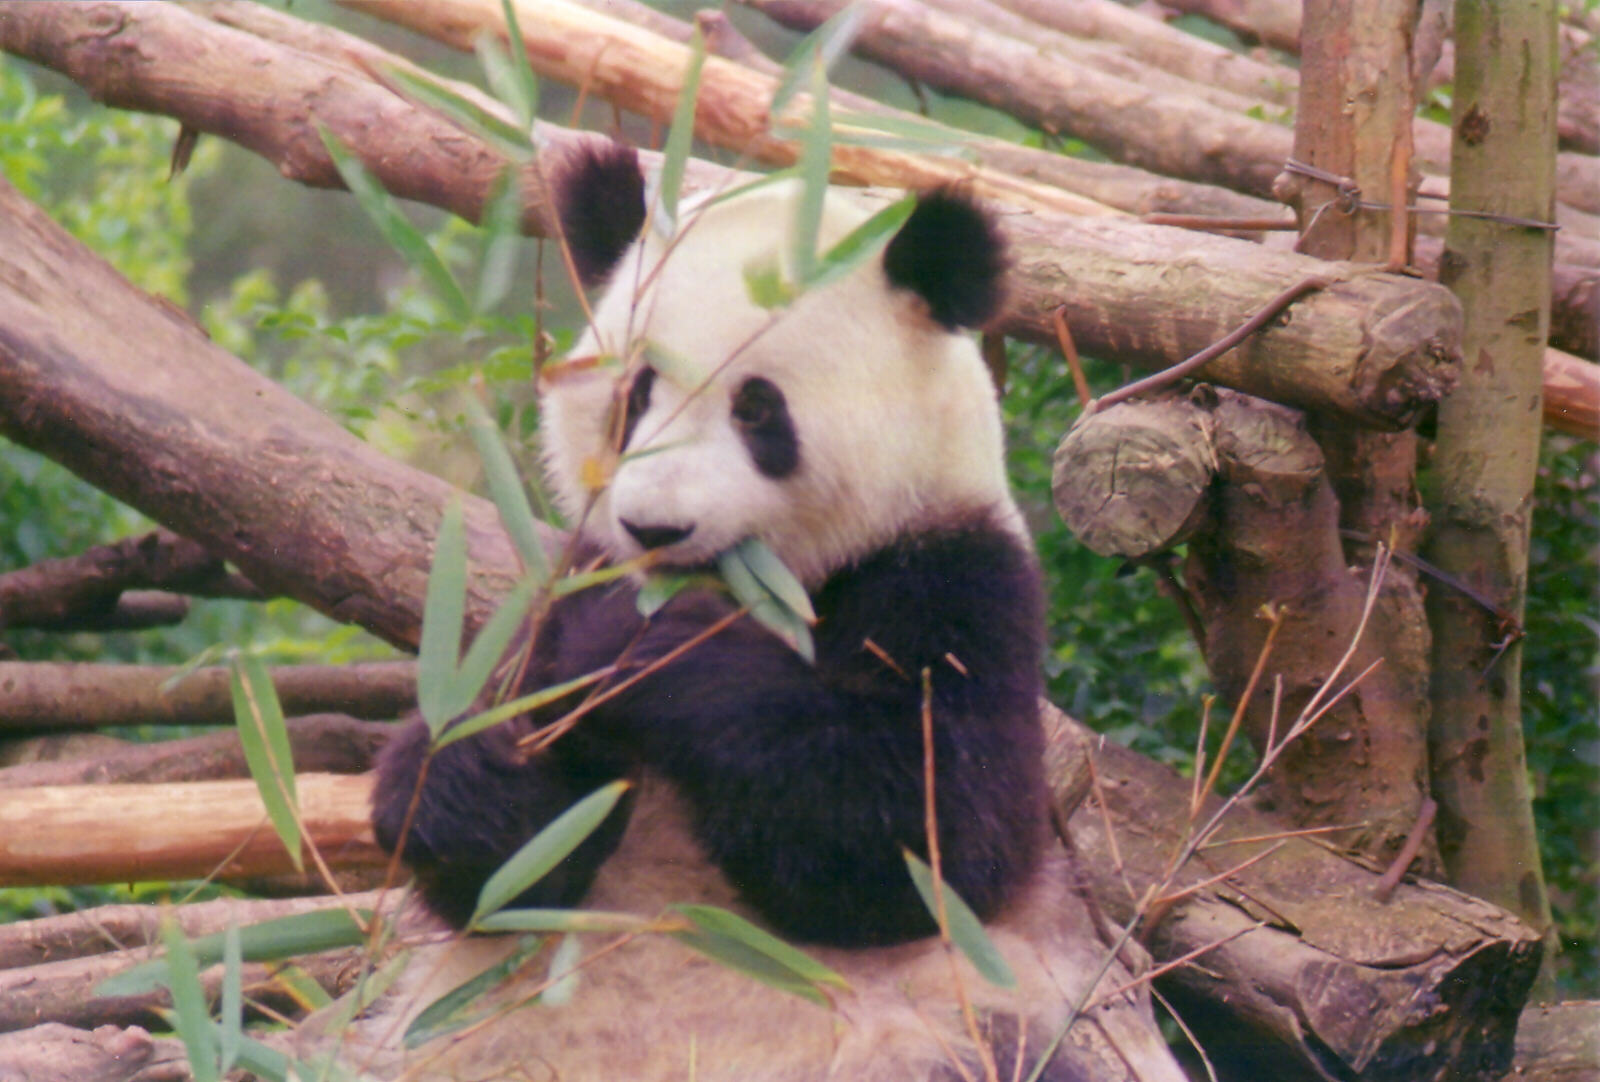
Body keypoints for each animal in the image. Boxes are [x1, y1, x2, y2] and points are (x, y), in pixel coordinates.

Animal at [328, 141, 1190, 1082]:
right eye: (636, 396)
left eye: (757, 408)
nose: (656, 527)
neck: (746, 590)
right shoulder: (564, 579)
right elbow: (498, 864)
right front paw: (485, 756)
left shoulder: (958, 584)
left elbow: (925, 834)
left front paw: (633, 648)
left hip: (943, 1027)